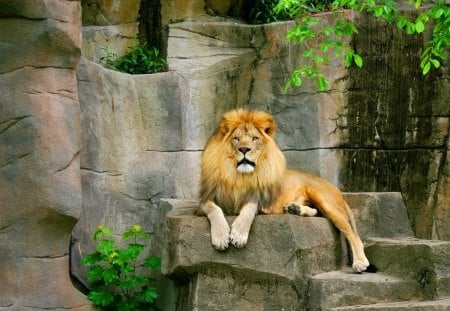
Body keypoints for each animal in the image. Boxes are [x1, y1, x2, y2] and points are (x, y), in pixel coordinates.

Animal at [198, 109, 372, 272]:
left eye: (254, 138)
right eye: (236, 138)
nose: (245, 149)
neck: (238, 176)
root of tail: (336, 189)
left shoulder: (259, 200)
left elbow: (248, 210)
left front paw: (239, 235)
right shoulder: (203, 201)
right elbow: (214, 210)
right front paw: (221, 236)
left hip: (326, 201)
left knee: (353, 234)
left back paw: (360, 263)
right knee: (318, 213)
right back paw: (294, 208)